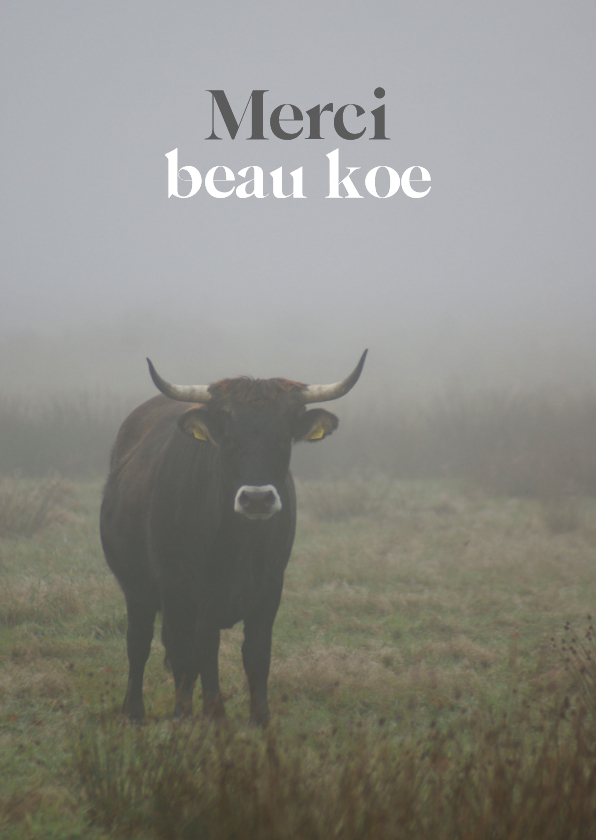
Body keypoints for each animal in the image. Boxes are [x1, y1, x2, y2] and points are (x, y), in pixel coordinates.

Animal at [100, 351, 367, 725]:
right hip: (136, 589)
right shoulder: (179, 591)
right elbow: (187, 655)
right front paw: (192, 716)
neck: (236, 545)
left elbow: (255, 654)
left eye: (283, 437)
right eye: (228, 439)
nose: (256, 499)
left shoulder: (269, 589)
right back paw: (134, 711)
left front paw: (257, 718)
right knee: (139, 643)